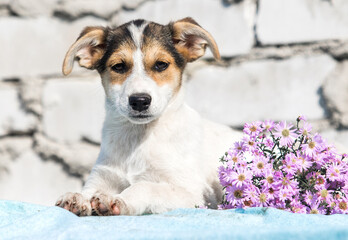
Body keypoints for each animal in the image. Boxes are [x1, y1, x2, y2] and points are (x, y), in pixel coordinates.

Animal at [56, 16, 242, 216]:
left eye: (161, 65)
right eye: (118, 66)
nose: (139, 101)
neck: (137, 138)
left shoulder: (192, 194)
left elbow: (146, 186)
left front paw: (118, 200)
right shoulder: (101, 177)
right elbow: (88, 191)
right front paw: (75, 198)